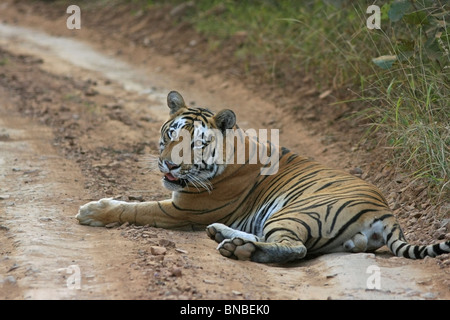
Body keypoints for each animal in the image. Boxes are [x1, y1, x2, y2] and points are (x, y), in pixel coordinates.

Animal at [75, 91, 448, 264]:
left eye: (195, 144)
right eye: (170, 135)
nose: (169, 166)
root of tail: (386, 211)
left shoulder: (182, 209)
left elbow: (135, 208)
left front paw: (92, 211)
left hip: (298, 211)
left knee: (294, 248)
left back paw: (240, 249)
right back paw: (224, 235)